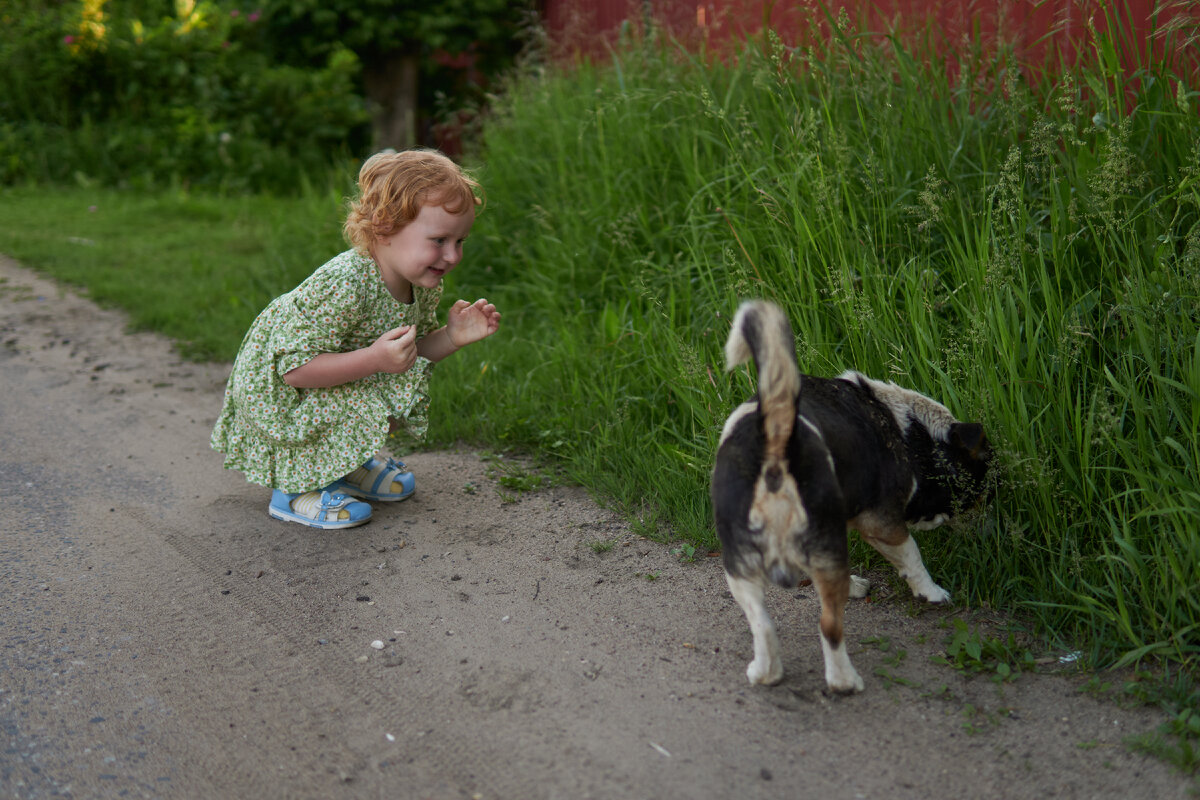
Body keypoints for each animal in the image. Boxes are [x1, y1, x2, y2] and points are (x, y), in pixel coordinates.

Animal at [710, 302, 993, 695]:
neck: (912, 433)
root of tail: (775, 445)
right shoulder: (883, 524)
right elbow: (913, 558)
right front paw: (932, 592)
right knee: (829, 626)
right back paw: (845, 681)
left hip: (739, 564)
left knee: (763, 625)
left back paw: (766, 673)